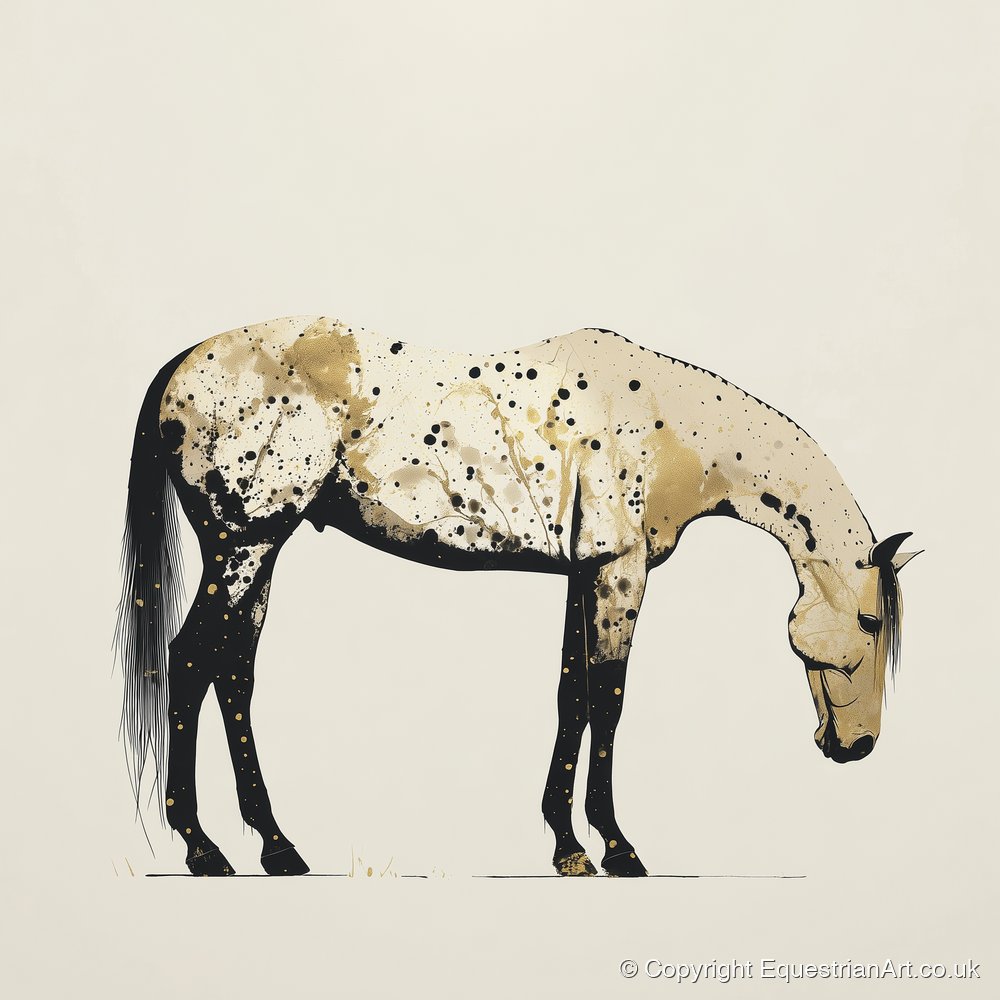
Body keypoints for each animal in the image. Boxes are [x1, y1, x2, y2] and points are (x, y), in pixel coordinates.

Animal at [116, 316, 918, 877]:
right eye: (869, 620)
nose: (857, 747)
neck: (669, 426)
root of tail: (181, 365)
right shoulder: (620, 574)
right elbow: (608, 700)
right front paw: (617, 847)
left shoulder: (584, 576)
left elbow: (572, 700)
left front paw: (567, 845)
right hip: (244, 545)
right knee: (192, 662)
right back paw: (202, 849)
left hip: (257, 553)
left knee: (233, 675)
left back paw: (277, 847)